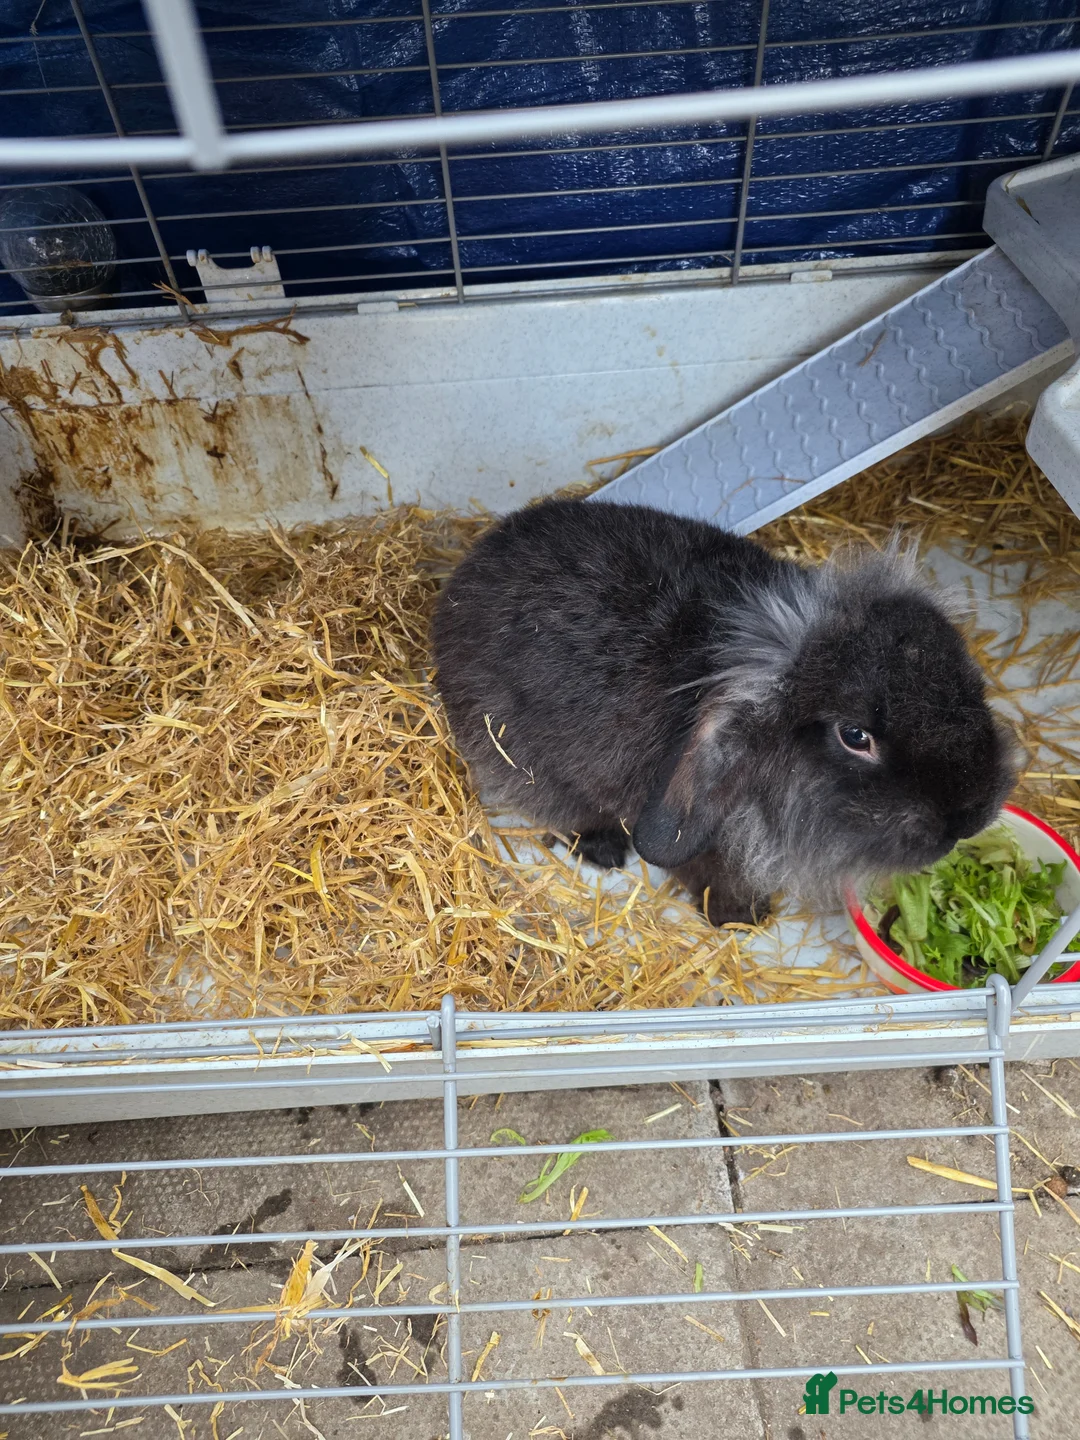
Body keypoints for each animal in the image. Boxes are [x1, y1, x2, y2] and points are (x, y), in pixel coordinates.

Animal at [431, 498, 1017, 926]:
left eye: (972, 681)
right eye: (855, 736)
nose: (969, 818)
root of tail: (464, 575)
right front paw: (741, 919)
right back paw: (604, 847)